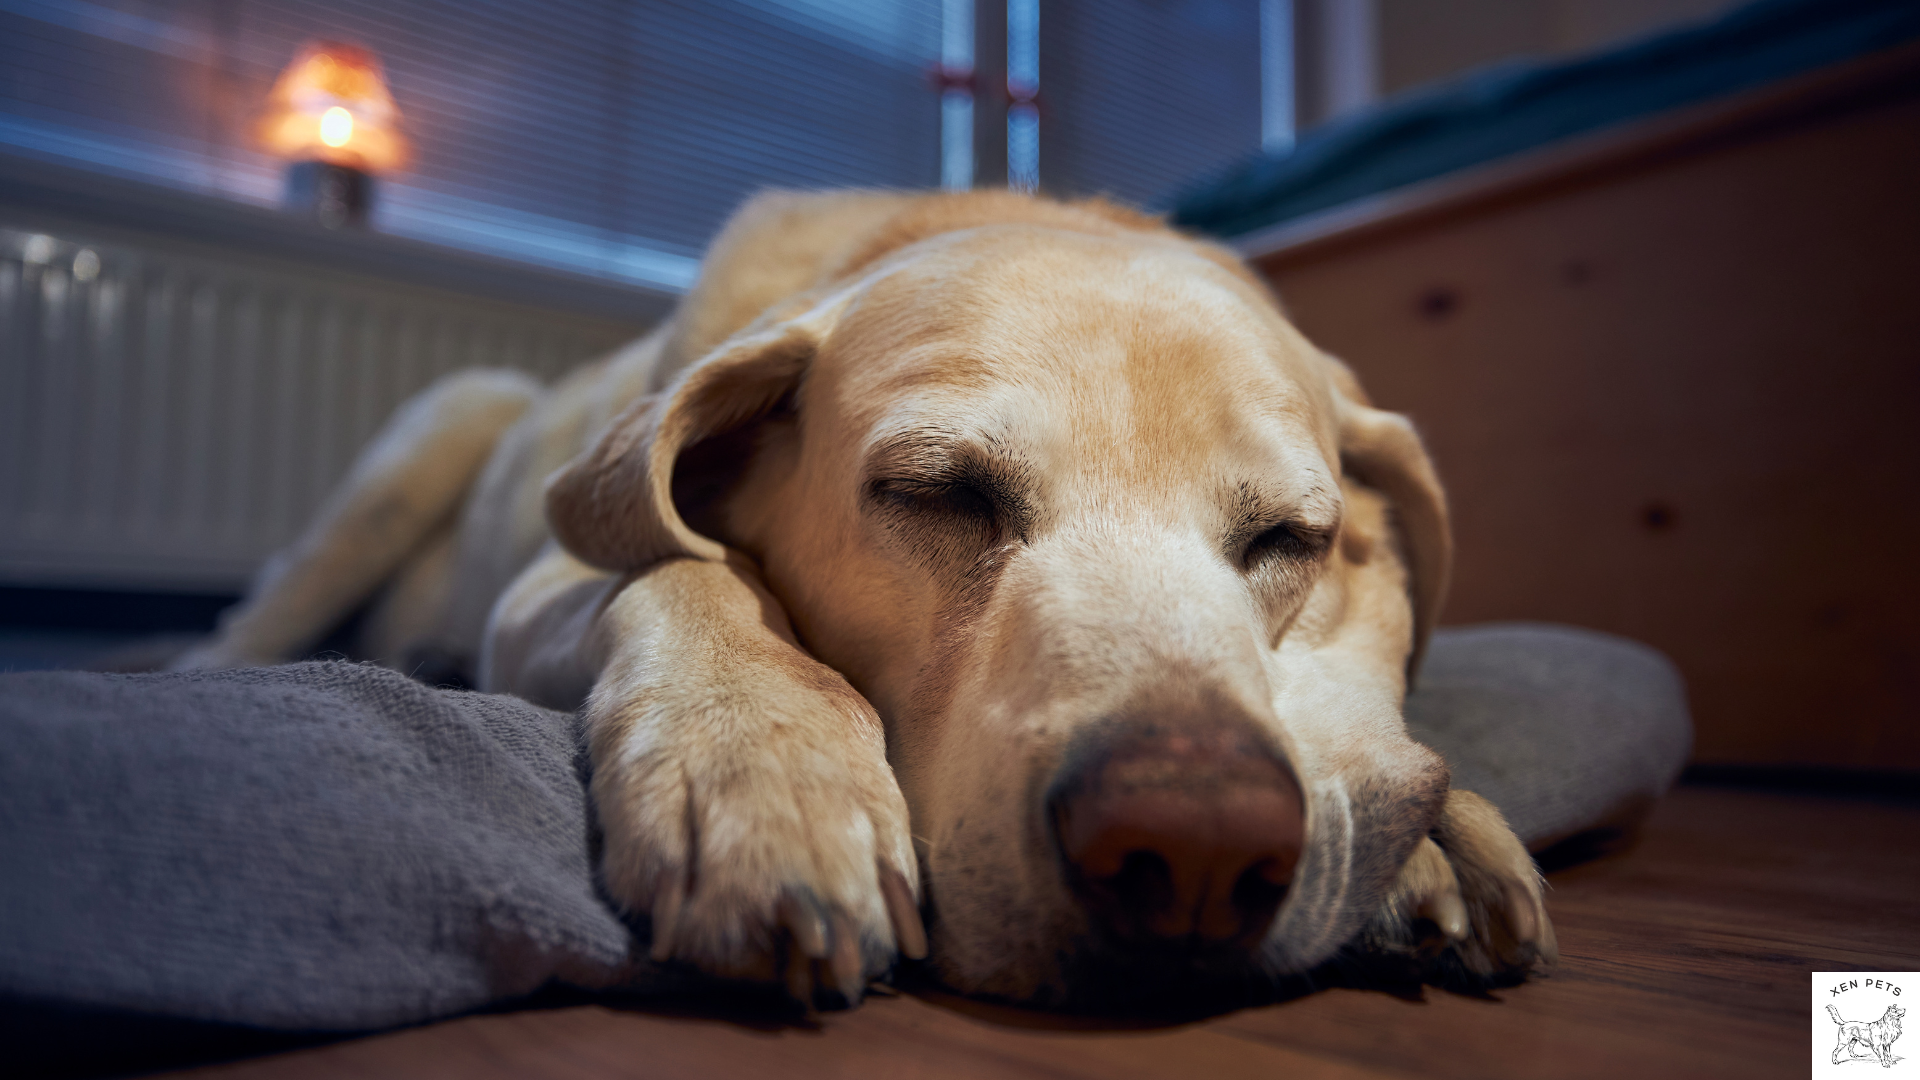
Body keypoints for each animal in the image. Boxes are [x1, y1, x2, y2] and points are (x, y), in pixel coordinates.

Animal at [180, 189, 1551, 1006]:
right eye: (939, 494)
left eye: (1289, 539)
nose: (1200, 854)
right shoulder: (551, 578)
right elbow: (688, 564)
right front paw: (767, 771)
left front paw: (1437, 834)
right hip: (432, 435)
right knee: (242, 630)